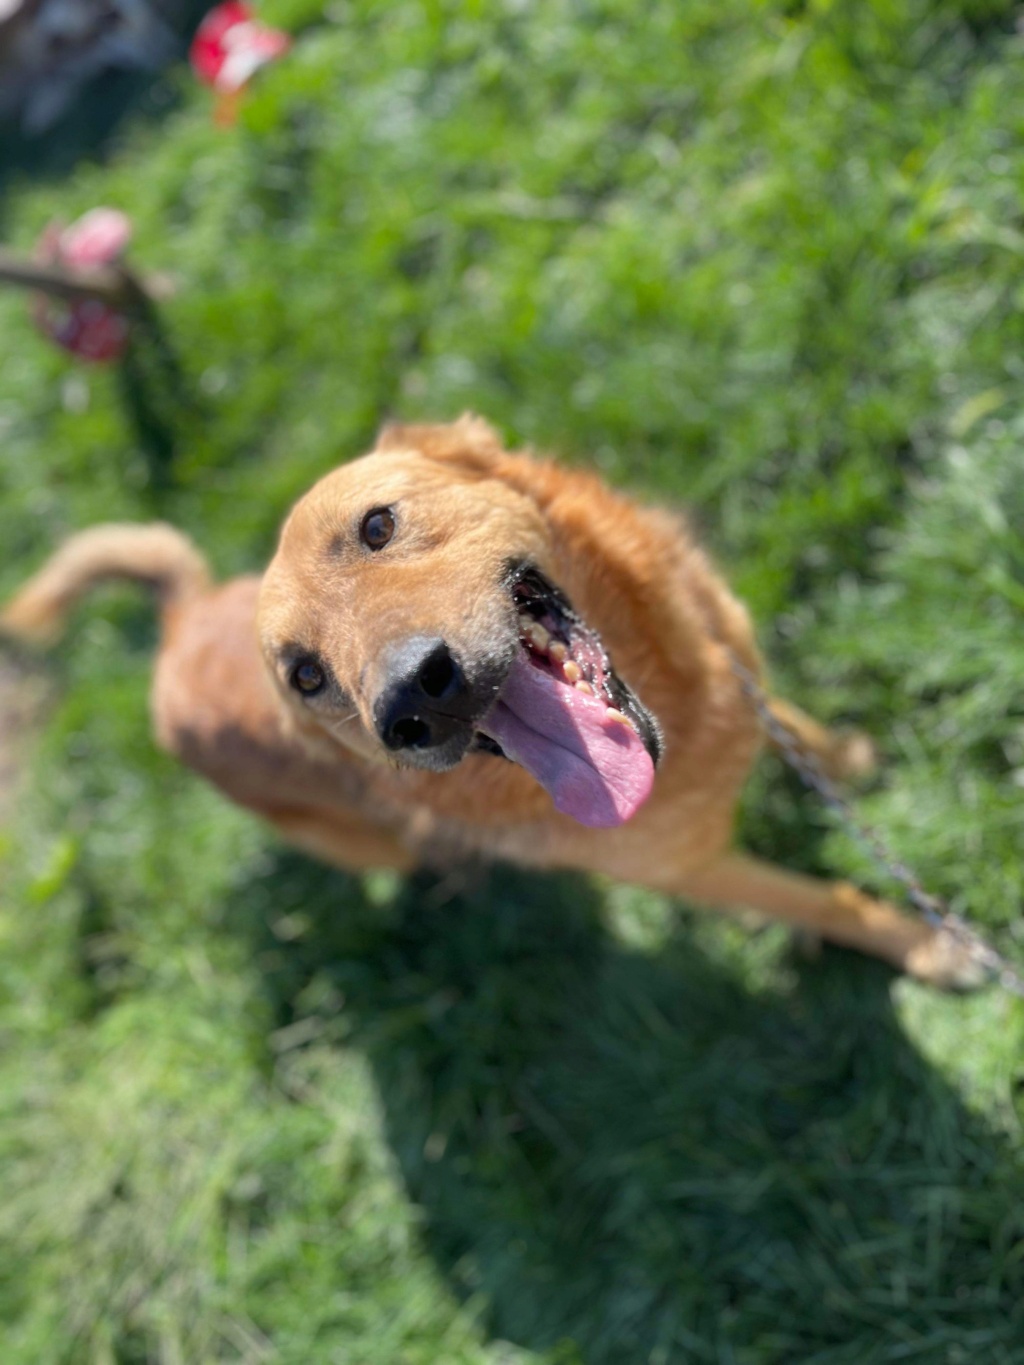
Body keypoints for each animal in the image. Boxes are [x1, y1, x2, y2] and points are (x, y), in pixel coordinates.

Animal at [0, 409, 983, 988]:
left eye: (377, 525)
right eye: (306, 675)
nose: (414, 700)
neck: (680, 702)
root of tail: (180, 620)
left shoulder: (734, 665)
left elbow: (794, 728)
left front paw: (845, 757)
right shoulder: (694, 868)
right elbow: (829, 902)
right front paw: (930, 946)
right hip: (366, 846)